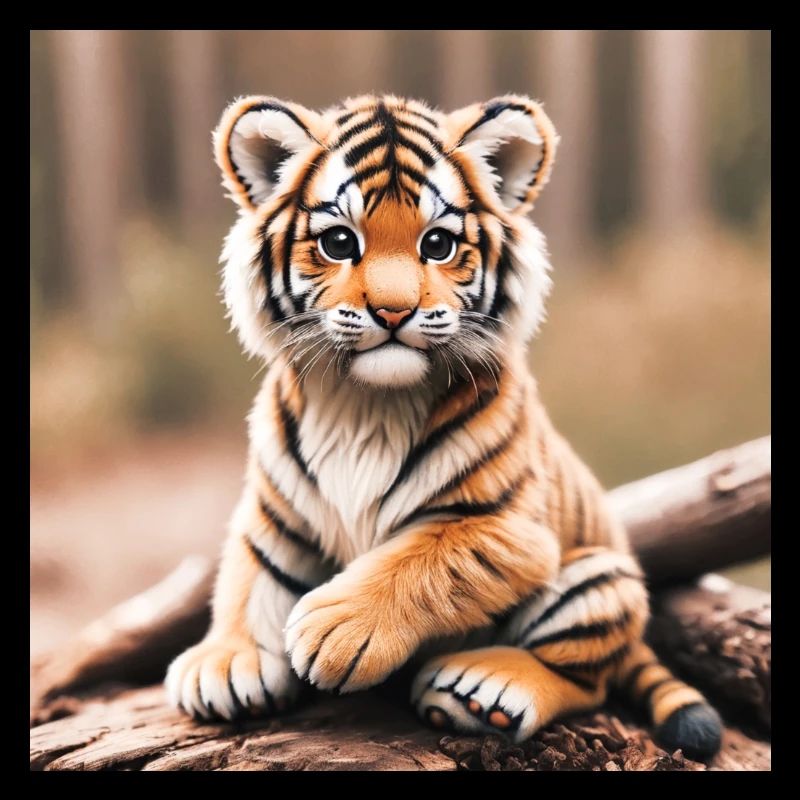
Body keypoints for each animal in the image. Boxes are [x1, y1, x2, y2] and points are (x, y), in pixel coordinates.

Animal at [165, 93, 723, 760]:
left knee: (587, 678)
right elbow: (249, 577)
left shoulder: (505, 527)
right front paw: (227, 662)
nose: (393, 311)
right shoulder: (274, 514)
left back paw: (482, 689)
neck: (364, 404)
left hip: (599, 579)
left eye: (437, 244)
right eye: (338, 242)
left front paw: (336, 628)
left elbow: (421, 561)